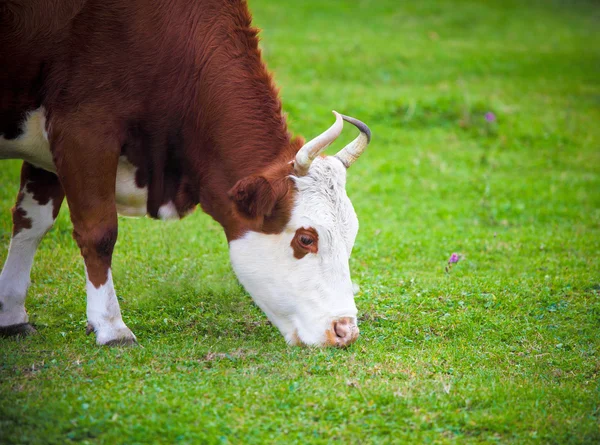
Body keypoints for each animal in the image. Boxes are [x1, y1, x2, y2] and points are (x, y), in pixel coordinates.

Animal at [0, 0, 370, 346]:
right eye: (306, 239)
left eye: (351, 235)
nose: (345, 330)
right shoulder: (83, 130)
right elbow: (98, 232)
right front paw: (111, 326)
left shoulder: (49, 151)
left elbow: (31, 222)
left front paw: (12, 315)